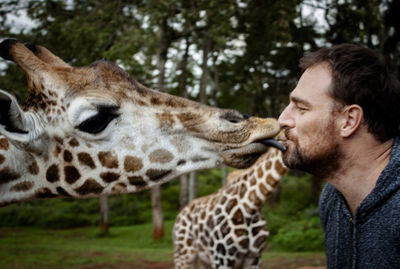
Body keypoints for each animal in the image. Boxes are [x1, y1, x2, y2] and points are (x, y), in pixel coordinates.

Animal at [173, 136, 286, 268]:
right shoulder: (222, 258)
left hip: (203, 258)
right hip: (184, 253)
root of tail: (180, 214)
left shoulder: (254, 257)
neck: (252, 204)